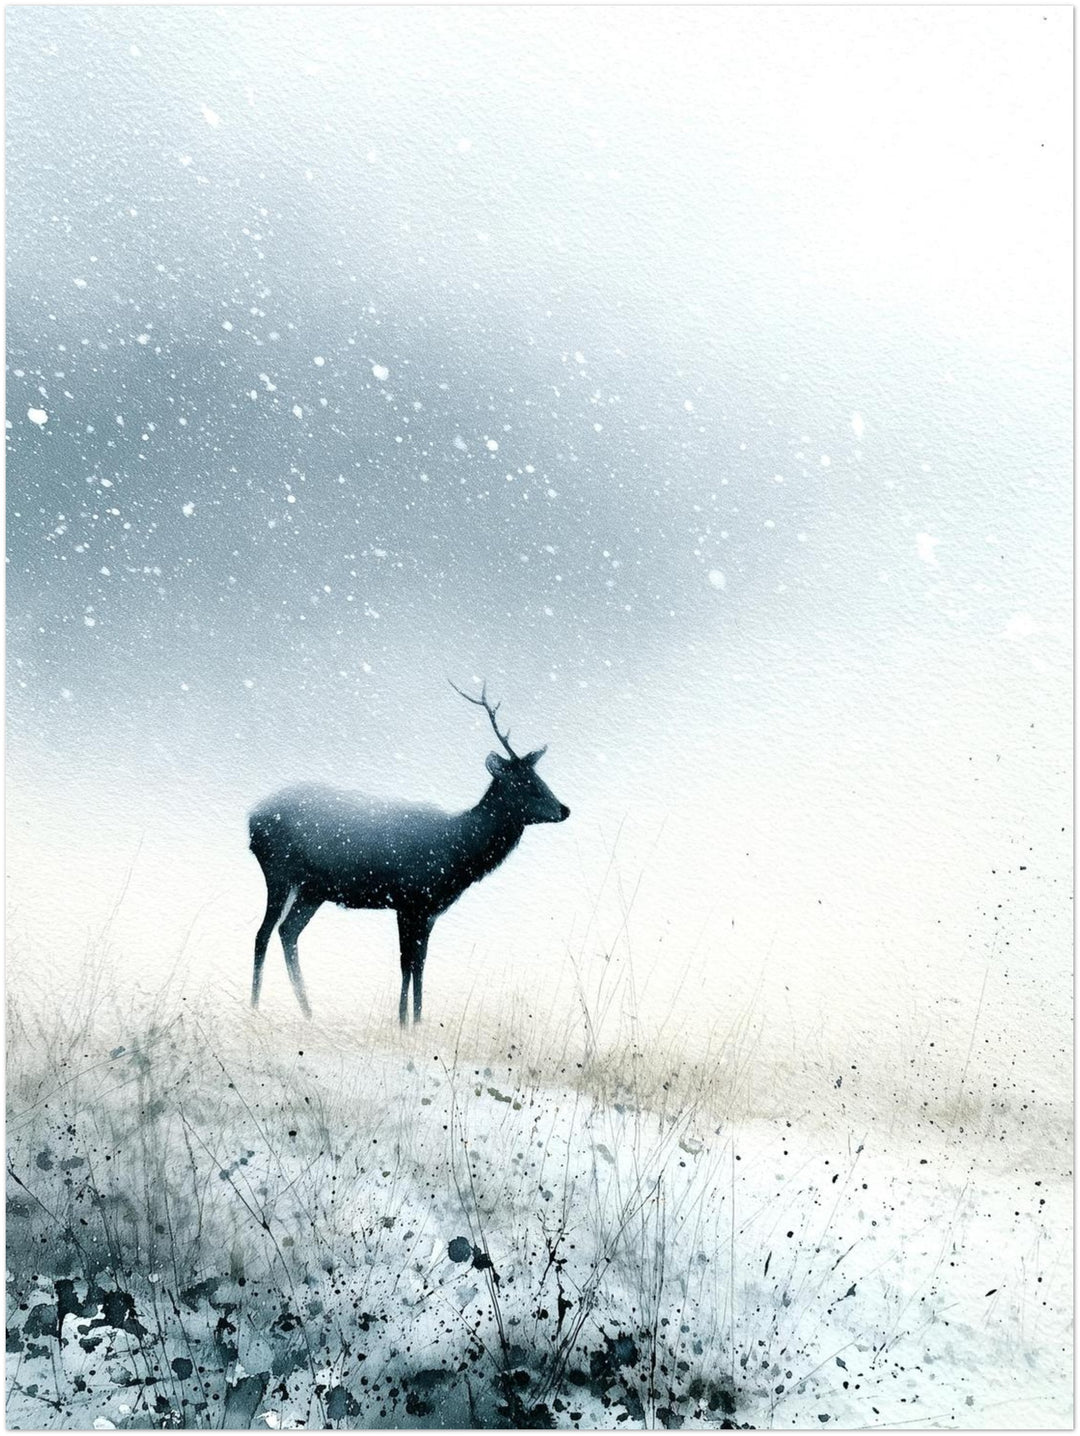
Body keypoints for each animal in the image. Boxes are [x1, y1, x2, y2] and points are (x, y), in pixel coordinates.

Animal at [247, 682, 570, 1025]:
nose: (564, 809)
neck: (457, 854)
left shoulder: (429, 911)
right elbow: (406, 963)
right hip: (278, 872)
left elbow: (421, 963)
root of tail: (251, 820)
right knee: (263, 933)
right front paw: (402, 1022)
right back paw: (254, 1006)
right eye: (526, 784)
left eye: (540, 779)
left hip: (313, 890)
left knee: (287, 931)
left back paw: (308, 1012)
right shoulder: (408, 899)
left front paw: (417, 1021)